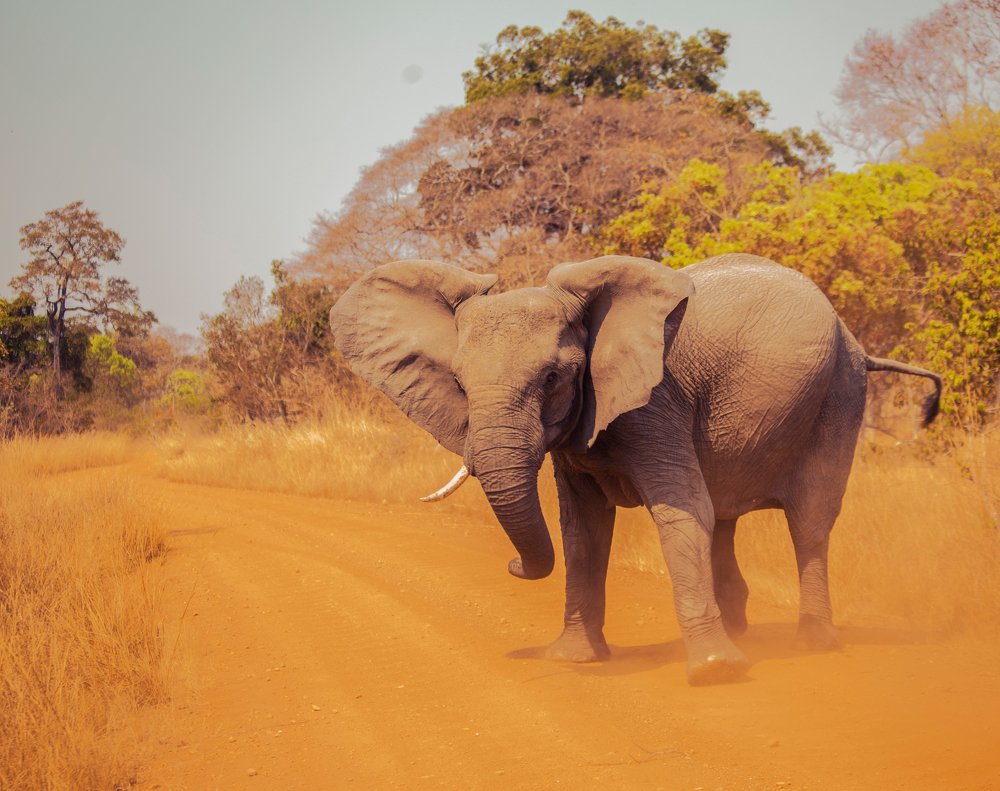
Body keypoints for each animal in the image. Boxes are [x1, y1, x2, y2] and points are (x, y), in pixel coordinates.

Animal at [329, 253, 941, 685]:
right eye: (458, 381)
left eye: (553, 378)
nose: (511, 565)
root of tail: (858, 342)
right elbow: (583, 529)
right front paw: (575, 659)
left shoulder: (656, 402)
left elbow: (680, 510)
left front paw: (715, 673)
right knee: (724, 516)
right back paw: (742, 632)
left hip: (840, 391)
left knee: (809, 519)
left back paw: (808, 645)